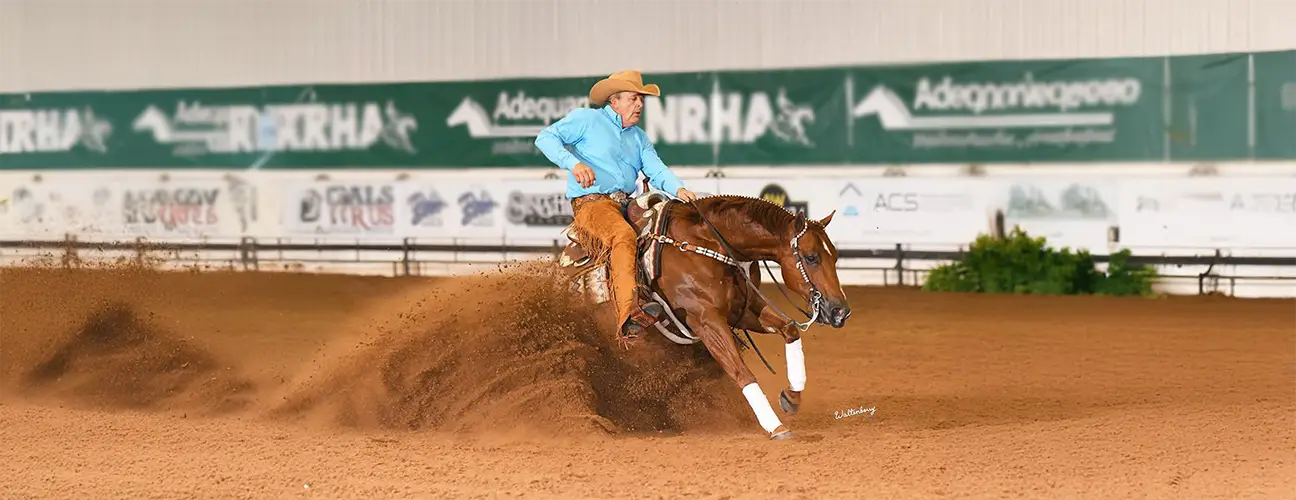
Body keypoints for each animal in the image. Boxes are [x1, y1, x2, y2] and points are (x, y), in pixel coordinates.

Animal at [557, 189, 851, 440]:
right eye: (811, 257)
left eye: (835, 256)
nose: (841, 311)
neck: (706, 247)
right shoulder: (705, 321)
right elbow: (741, 372)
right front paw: (775, 426)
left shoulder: (743, 312)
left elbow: (790, 330)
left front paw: (791, 397)